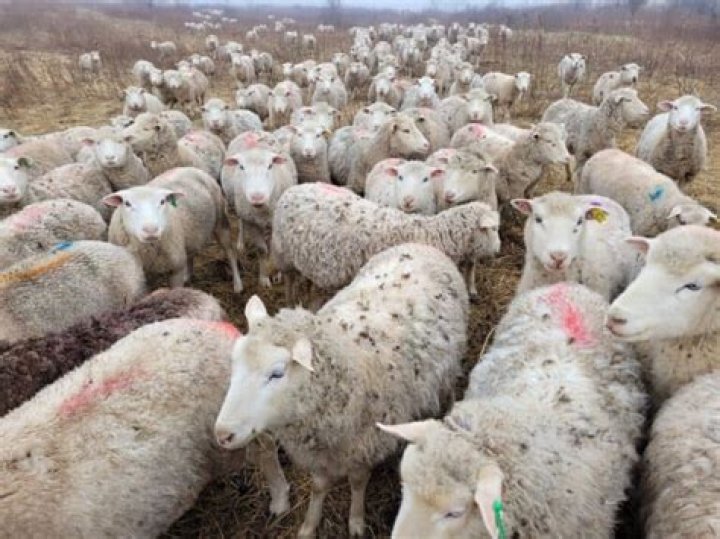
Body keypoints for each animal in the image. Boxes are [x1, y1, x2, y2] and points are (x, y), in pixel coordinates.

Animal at [105, 167, 241, 292]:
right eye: (127, 203)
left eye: (162, 201)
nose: (151, 230)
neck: (148, 251)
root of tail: (189, 168)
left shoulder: (176, 269)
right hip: (190, 234)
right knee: (190, 253)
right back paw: (188, 276)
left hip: (220, 221)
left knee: (230, 252)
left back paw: (237, 284)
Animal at [214, 242, 468, 537]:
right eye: (234, 361)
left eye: (276, 373)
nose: (222, 434)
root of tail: (420, 245)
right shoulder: (320, 452)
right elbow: (318, 486)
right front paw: (309, 525)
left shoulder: (365, 445)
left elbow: (357, 482)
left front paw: (356, 521)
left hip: (449, 367)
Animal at [221, 147, 298, 288]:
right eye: (241, 166)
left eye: (270, 166)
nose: (257, 197)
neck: (262, 209)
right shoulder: (252, 223)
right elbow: (262, 250)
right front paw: (264, 278)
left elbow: (274, 247)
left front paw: (277, 274)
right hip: (240, 207)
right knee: (241, 222)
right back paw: (240, 244)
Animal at [271, 183, 500, 299]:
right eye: (493, 229)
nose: (498, 249)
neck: (429, 235)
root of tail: (292, 189)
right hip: (283, 254)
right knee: (289, 281)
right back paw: (291, 301)